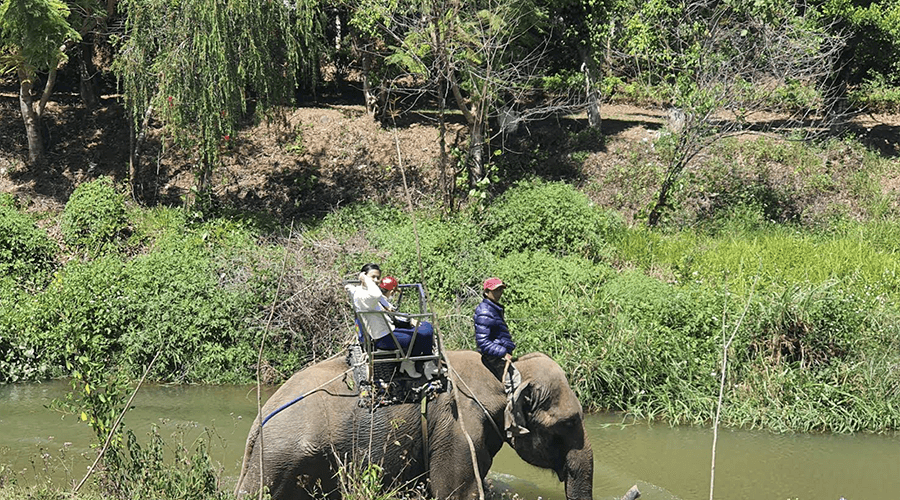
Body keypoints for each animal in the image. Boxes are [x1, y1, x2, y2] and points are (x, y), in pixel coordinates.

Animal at [234, 350, 593, 500]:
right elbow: (457, 492)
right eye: (567, 423)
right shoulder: (457, 427)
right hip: (282, 464)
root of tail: (255, 428)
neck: (502, 371)